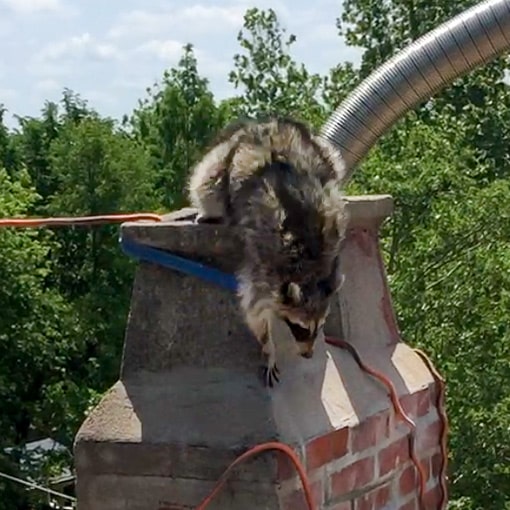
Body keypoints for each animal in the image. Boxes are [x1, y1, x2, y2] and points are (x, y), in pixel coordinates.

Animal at [188, 115, 350, 386]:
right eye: (300, 328)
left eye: (318, 327)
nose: (308, 355)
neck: (310, 270)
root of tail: (263, 125)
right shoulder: (263, 263)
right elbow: (254, 310)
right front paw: (268, 347)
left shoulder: (334, 239)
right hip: (219, 164)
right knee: (206, 185)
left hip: (324, 154)